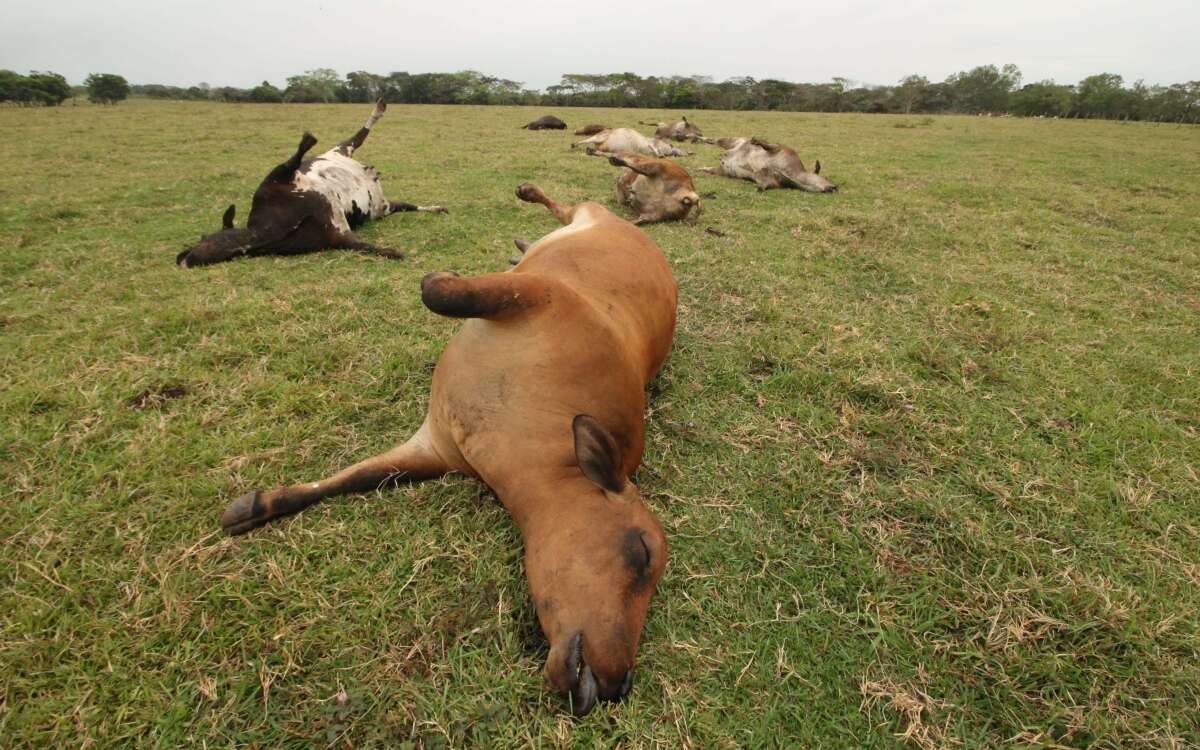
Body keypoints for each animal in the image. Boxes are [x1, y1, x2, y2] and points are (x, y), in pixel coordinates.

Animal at [175, 99, 444, 267]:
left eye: (203, 236)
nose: (182, 256)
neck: (265, 231)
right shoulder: (337, 236)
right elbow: (372, 248)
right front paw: (395, 252)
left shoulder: (276, 178)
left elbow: (293, 157)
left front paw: (308, 139)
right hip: (382, 207)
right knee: (406, 205)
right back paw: (436, 208)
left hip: (342, 148)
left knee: (360, 133)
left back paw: (379, 107)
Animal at [216, 181, 676, 715]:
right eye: (641, 553)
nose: (620, 684)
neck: (542, 442)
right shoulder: (538, 297)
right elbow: (436, 289)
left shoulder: (434, 447)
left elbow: (364, 475)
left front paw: (260, 503)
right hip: (591, 215)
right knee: (565, 207)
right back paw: (526, 209)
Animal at [700, 135, 840, 192]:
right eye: (826, 177)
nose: (835, 187)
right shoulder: (779, 149)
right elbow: (767, 145)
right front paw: (755, 140)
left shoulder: (767, 179)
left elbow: (764, 184)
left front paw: (759, 188)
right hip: (732, 140)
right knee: (714, 140)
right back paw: (698, 138)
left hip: (723, 170)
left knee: (709, 168)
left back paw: (700, 168)